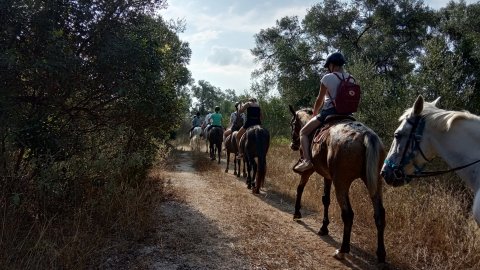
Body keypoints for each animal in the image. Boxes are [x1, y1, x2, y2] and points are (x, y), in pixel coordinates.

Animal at [288, 105, 386, 264]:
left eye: (293, 124)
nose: (293, 145)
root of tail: (366, 135)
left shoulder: (309, 170)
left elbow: (300, 188)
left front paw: (297, 213)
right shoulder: (327, 176)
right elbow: (325, 199)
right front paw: (323, 227)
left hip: (341, 182)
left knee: (348, 214)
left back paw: (342, 250)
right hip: (375, 182)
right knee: (379, 215)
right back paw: (381, 254)